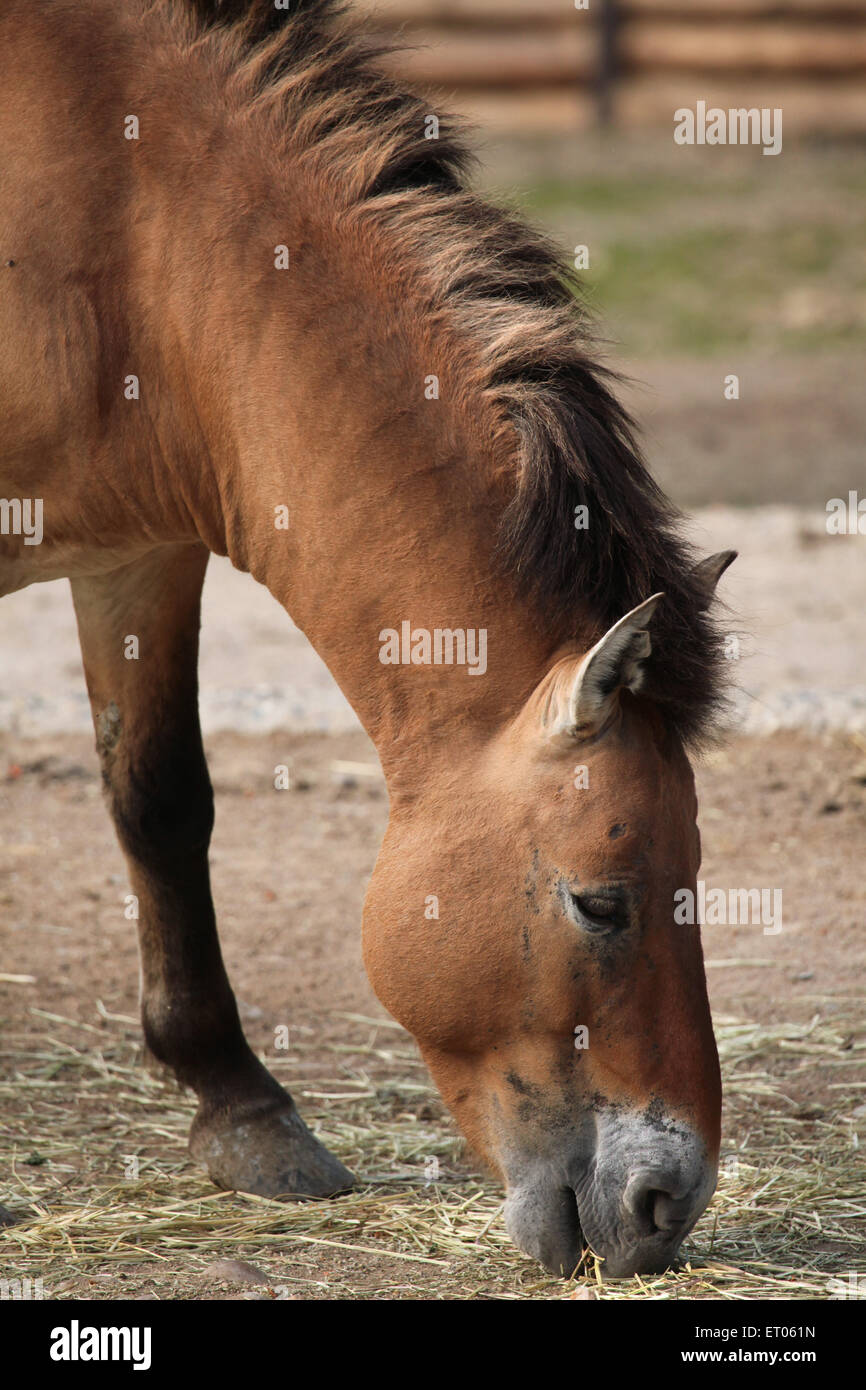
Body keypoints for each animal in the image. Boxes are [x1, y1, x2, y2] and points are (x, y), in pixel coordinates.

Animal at [1, 0, 739, 1278]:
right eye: (601, 902)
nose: (667, 1205)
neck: (130, 232)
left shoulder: (134, 554)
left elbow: (160, 802)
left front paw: (243, 1109)